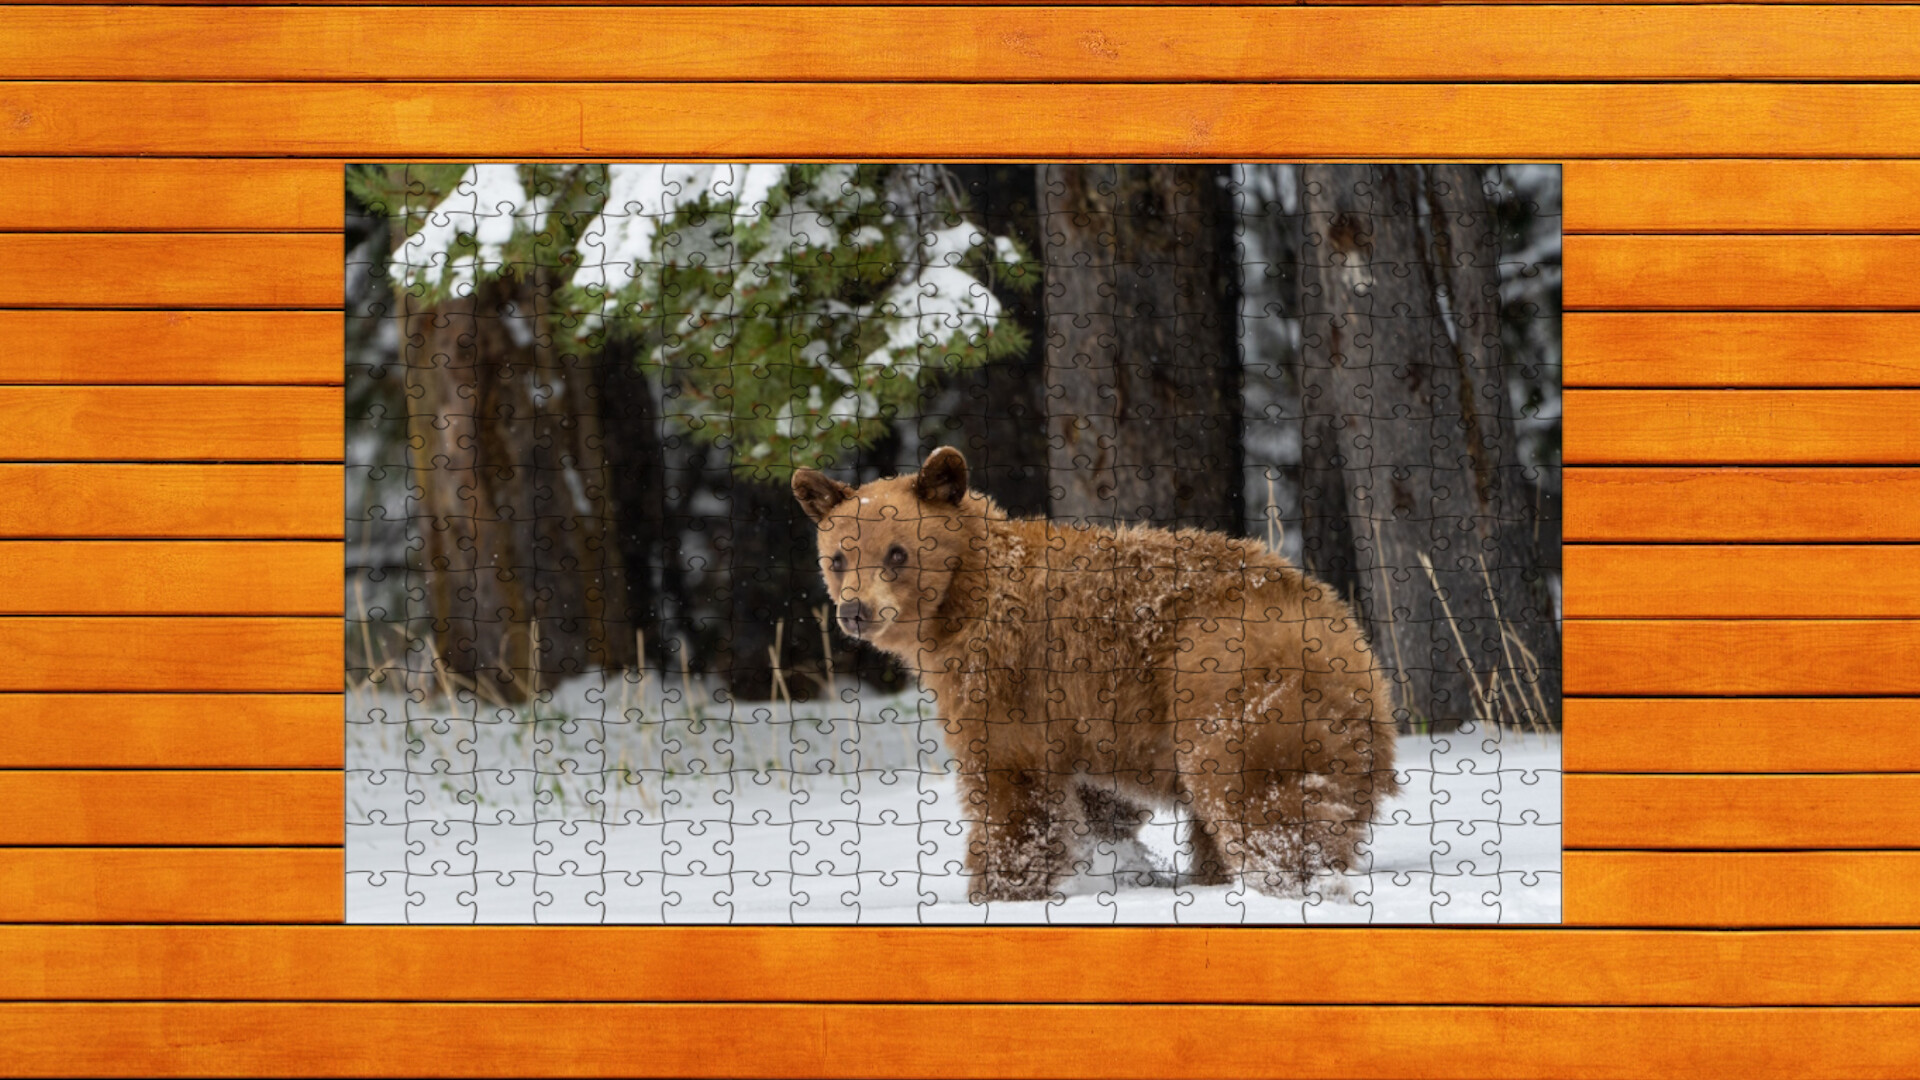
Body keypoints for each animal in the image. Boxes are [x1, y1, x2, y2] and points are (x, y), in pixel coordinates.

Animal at [792, 446, 1398, 902]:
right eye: (838, 557)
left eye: (897, 553)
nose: (856, 611)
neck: (961, 602)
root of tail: (1353, 647)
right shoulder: (1083, 718)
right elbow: (1098, 800)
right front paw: (1111, 861)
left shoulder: (1009, 679)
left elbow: (1010, 784)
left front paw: (1001, 886)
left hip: (1231, 689)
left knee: (1256, 800)